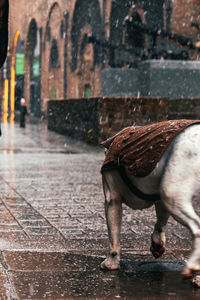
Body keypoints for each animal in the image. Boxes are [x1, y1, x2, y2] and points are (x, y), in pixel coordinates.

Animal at [101, 122, 200, 284]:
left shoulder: (112, 199)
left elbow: (113, 236)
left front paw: (111, 263)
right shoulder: (160, 198)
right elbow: (160, 222)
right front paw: (157, 244)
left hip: (172, 192)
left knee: (197, 228)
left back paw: (192, 267)